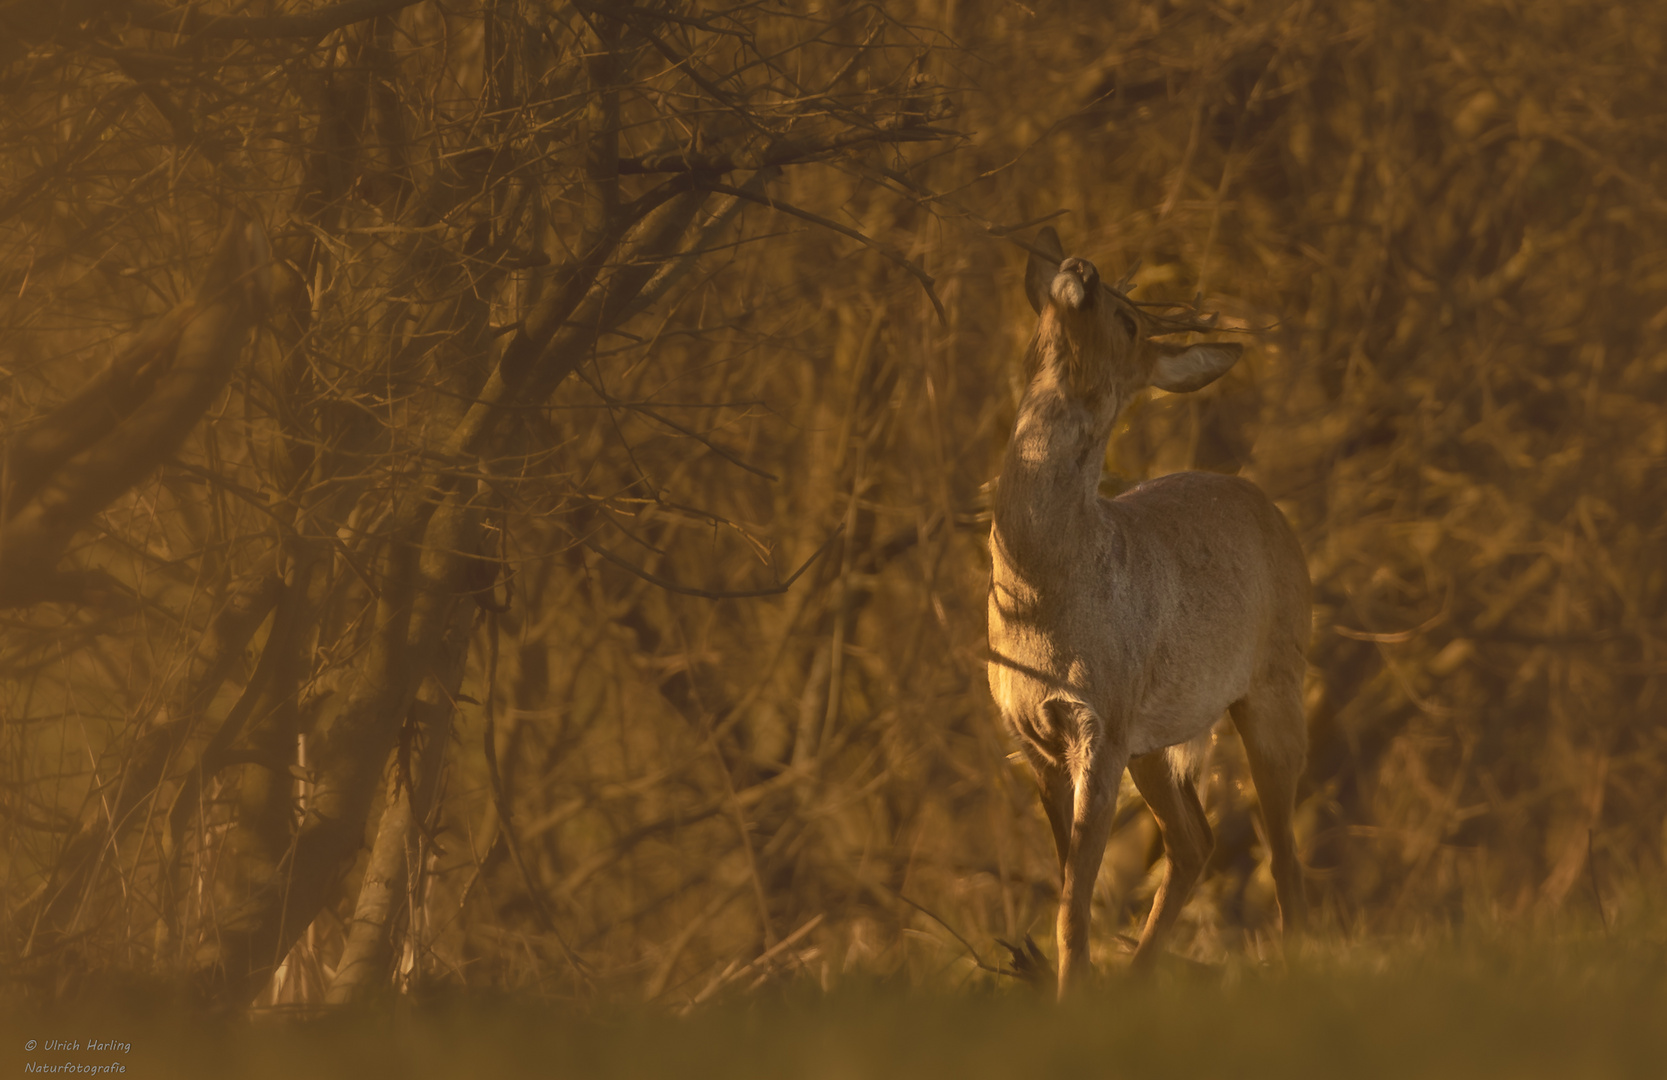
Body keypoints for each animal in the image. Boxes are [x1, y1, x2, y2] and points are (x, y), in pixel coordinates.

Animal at [980, 225, 1306, 993]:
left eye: (1129, 320)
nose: (1080, 267)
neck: (1039, 589)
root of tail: (1271, 511)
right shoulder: (1031, 734)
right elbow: (1069, 886)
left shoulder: (1101, 719)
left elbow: (1074, 901)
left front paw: (1070, 995)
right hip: (1158, 732)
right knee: (1195, 842)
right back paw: (1135, 980)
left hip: (1275, 684)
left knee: (1283, 857)